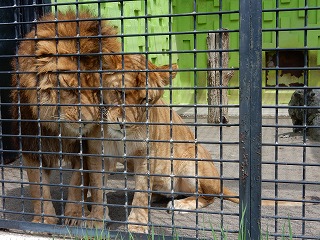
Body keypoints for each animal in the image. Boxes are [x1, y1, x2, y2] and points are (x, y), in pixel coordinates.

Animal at [10, 10, 120, 226]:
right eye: (70, 89)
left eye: (98, 91)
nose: (86, 121)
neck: (57, 127)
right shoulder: (32, 145)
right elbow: (39, 188)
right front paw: (44, 220)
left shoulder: (84, 148)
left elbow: (76, 183)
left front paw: (74, 216)